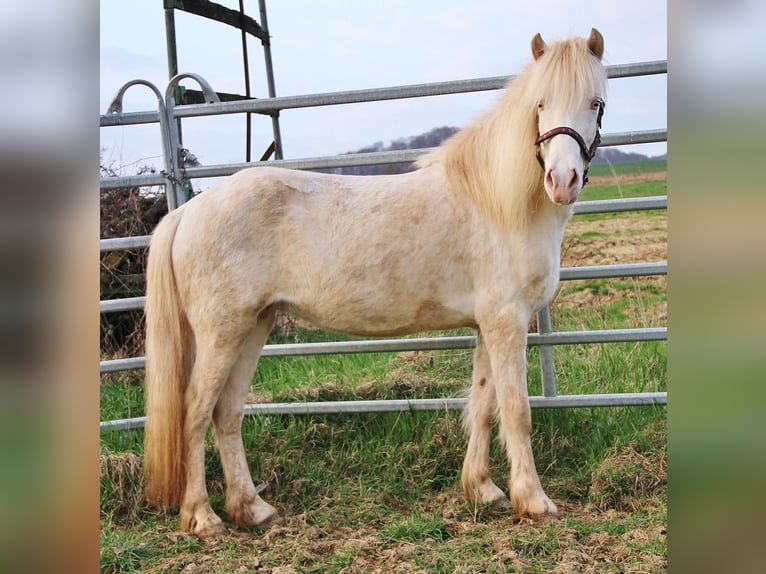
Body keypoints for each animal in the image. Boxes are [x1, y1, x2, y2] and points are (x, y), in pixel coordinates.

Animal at [143, 29, 607, 537]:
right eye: (540, 103)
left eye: (595, 103)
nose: (562, 180)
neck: (499, 203)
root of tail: (190, 211)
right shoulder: (508, 321)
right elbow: (517, 410)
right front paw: (535, 502)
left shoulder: (488, 324)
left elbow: (484, 404)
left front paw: (483, 490)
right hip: (221, 332)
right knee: (194, 412)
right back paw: (202, 517)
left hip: (254, 326)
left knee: (226, 412)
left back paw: (252, 508)